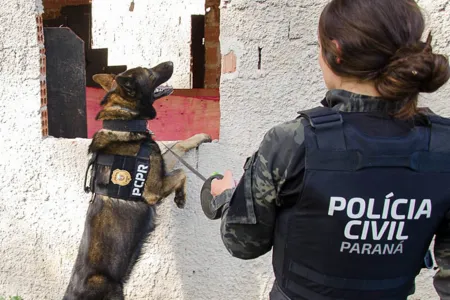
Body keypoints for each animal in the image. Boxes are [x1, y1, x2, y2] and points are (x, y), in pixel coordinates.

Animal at [62, 60, 212, 298]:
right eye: (149, 73)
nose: (171, 62)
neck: (124, 122)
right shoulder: (153, 191)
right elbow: (182, 172)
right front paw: (180, 196)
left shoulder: (160, 167)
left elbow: (179, 144)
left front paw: (199, 137)